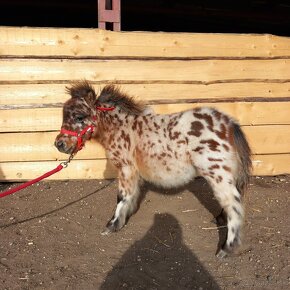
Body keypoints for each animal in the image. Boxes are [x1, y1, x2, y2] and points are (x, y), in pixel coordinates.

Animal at [55, 80, 251, 258]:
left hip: (217, 174)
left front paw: (112, 225)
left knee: (233, 205)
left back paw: (226, 249)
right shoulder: (133, 172)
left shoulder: (125, 168)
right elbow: (132, 194)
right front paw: (126, 216)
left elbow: (121, 196)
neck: (122, 128)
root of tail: (229, 124)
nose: (59, 144)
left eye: (79, 117)